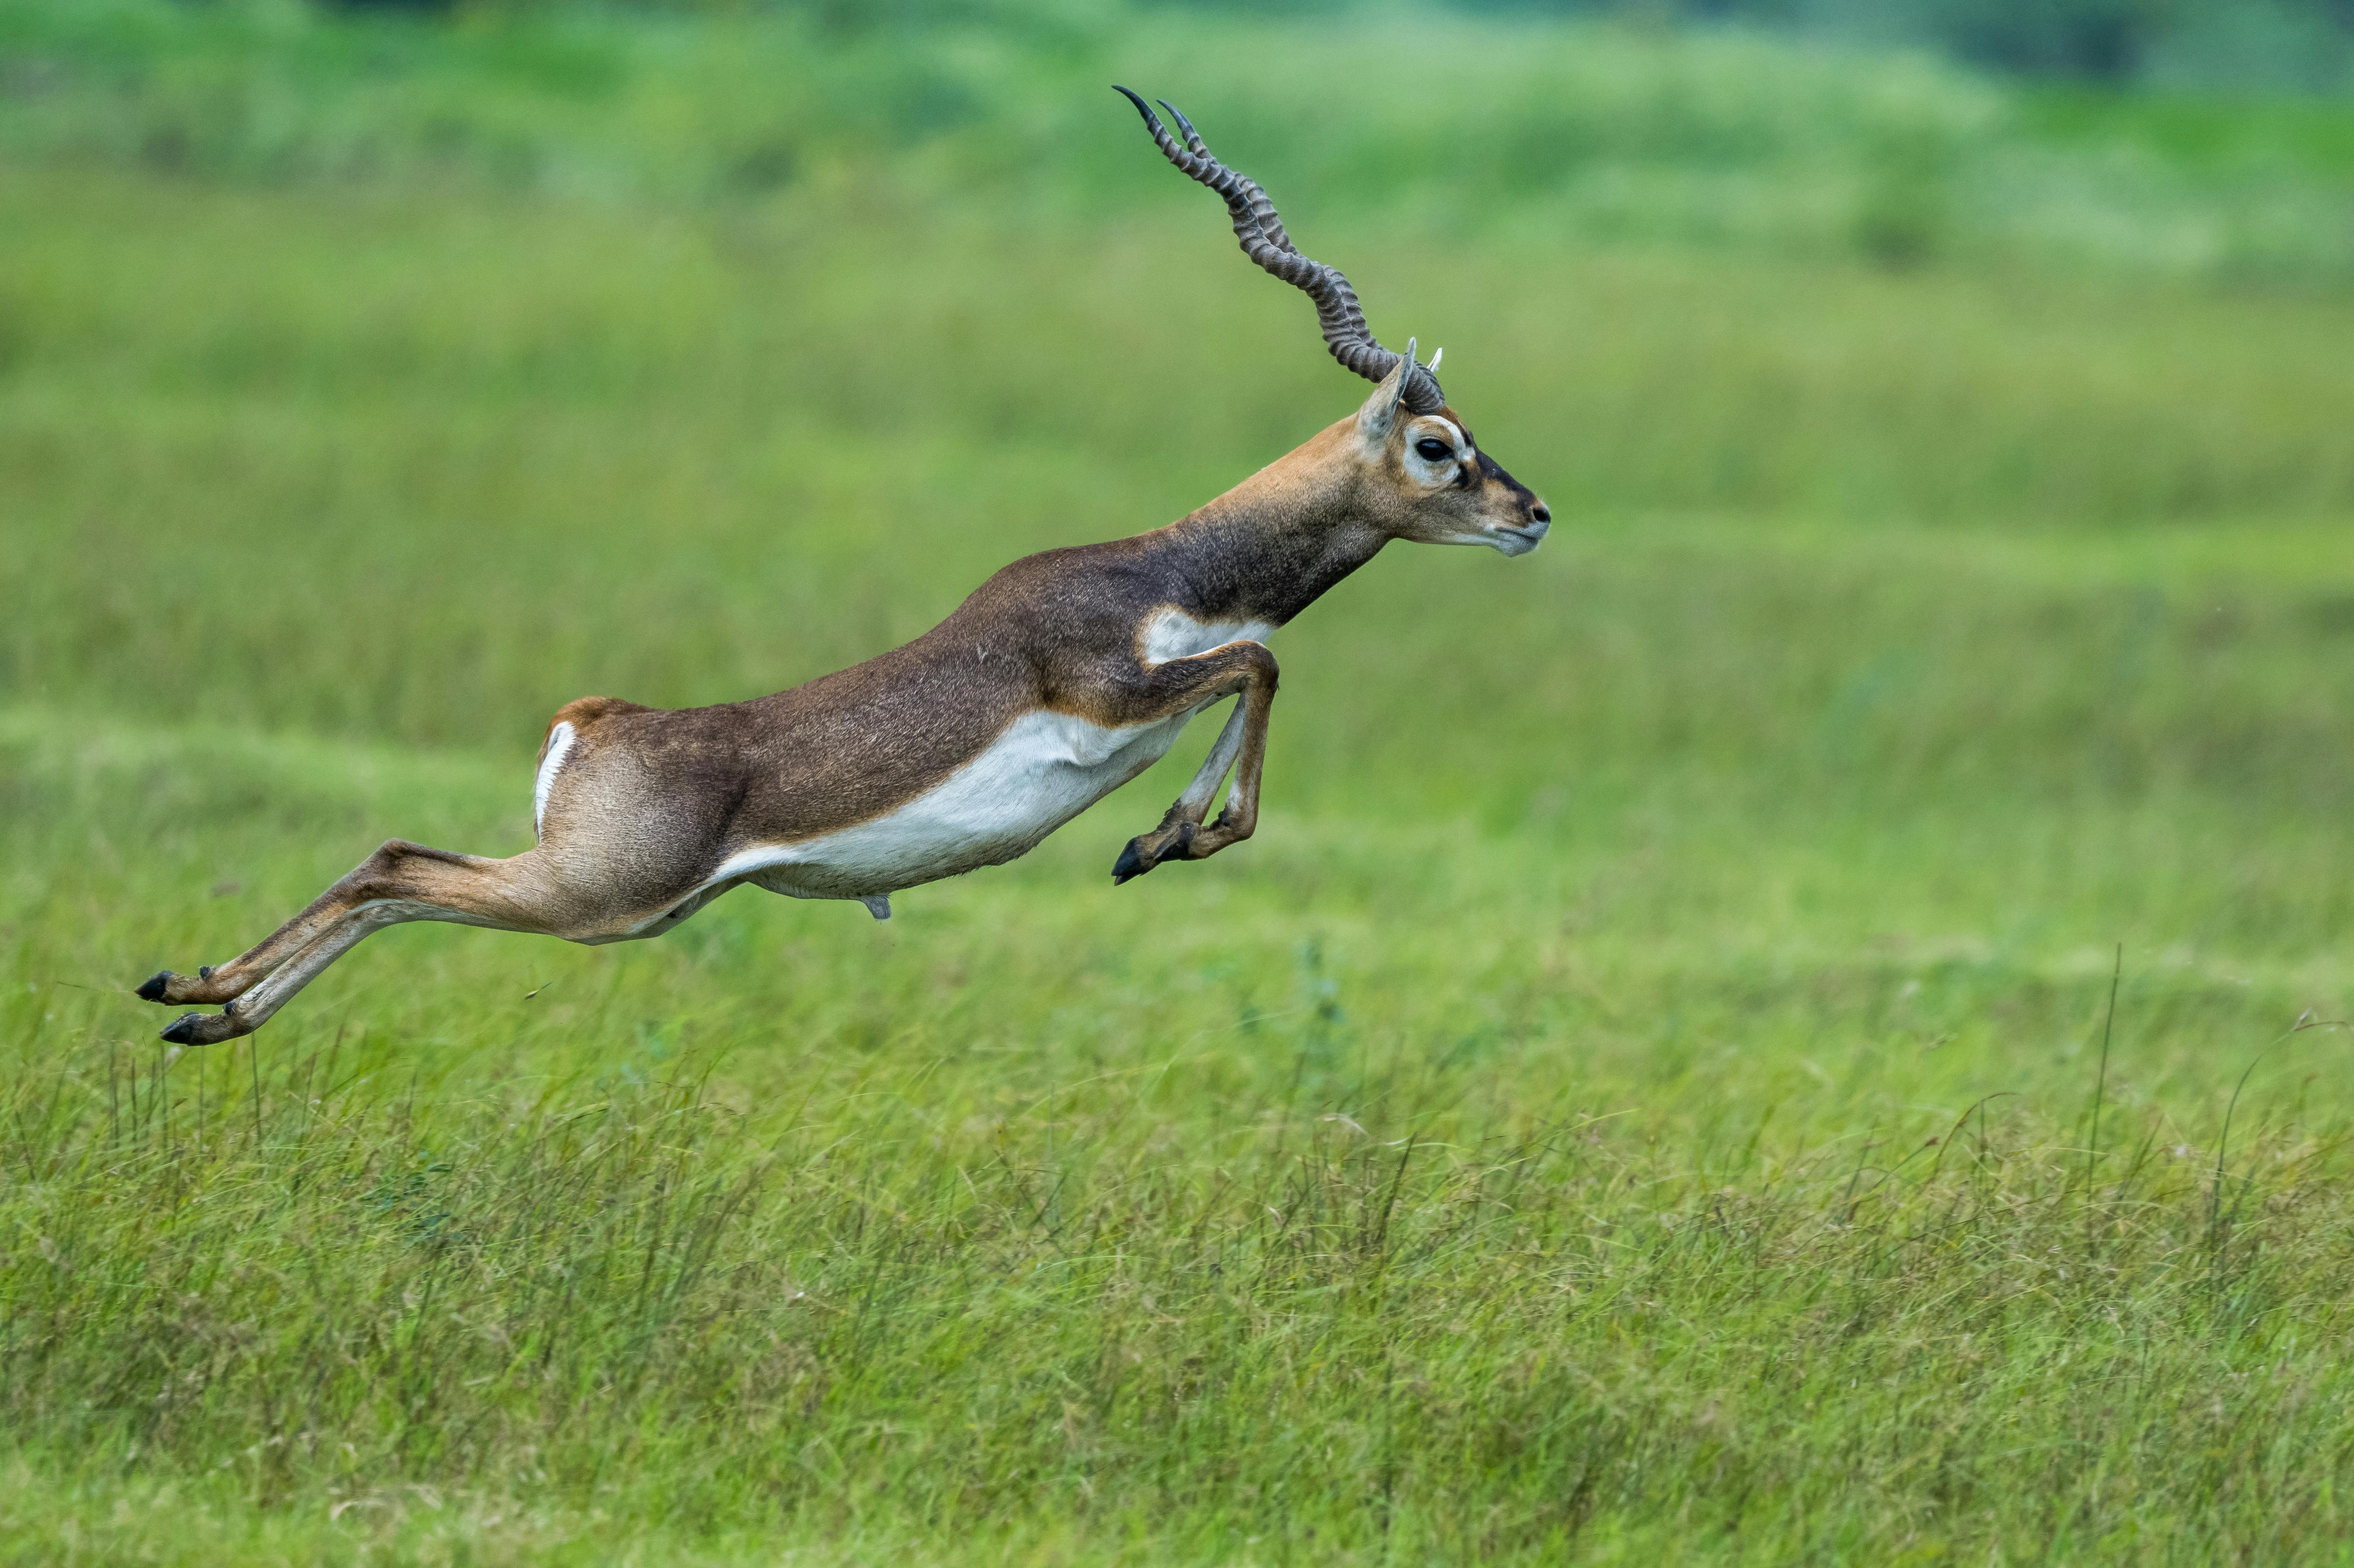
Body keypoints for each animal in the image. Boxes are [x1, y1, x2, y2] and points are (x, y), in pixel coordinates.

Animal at [138, 82, 1553, 1036]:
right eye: (1437, 445)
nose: (1532, 512)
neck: (1171, 572)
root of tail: (595, 719)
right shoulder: (1112, 688)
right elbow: (1259, 671)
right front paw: (1171, 840)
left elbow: (1247, 679)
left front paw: (1154, 841)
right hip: (600, 895)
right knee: (394, 862)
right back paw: (199, 987)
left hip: (618, 902)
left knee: (395, 880)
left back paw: (204, 1006)